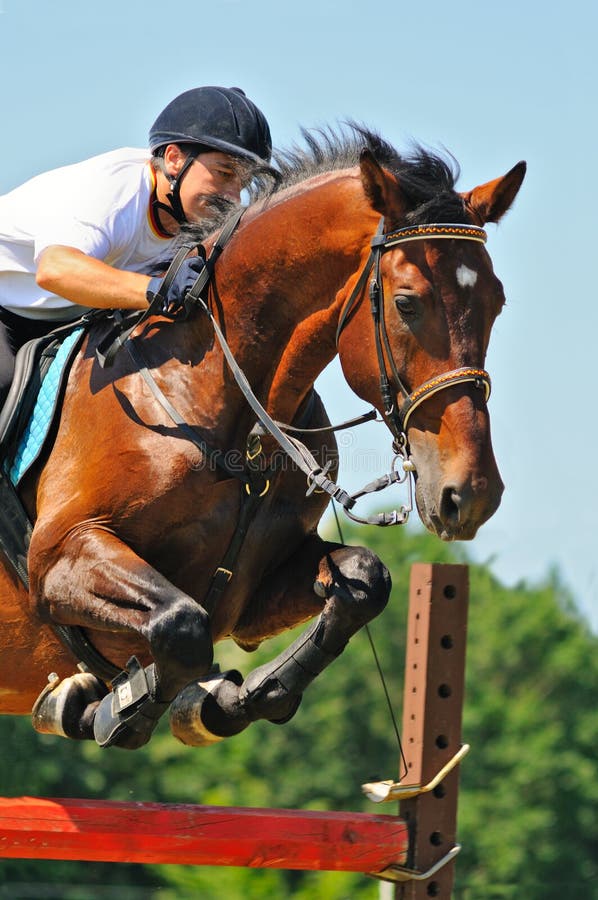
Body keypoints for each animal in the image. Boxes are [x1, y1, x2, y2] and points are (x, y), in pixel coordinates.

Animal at [0, 123, 524, 748]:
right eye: (406, 304)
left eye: (497, 303)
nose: (471, 495)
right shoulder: (58, 559)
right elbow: (180, 625)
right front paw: (96, 708)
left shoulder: (249, 598)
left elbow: (364, 579)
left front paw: (224, 702)